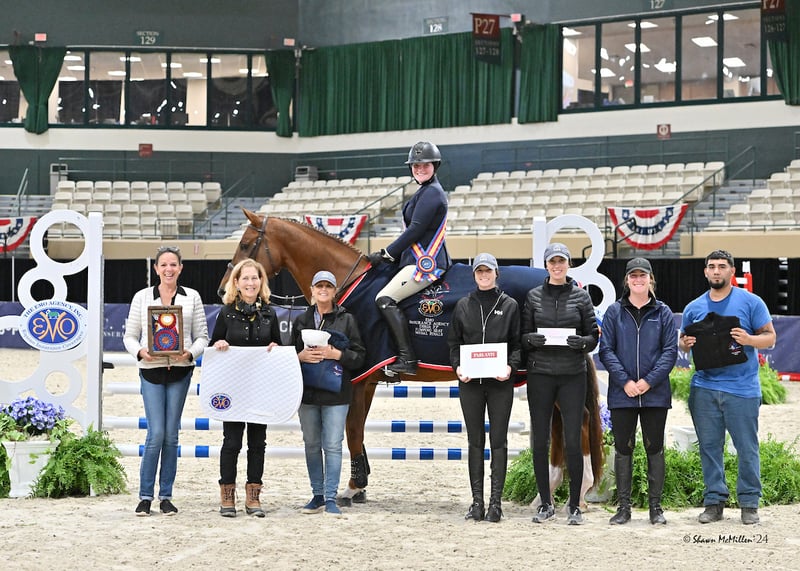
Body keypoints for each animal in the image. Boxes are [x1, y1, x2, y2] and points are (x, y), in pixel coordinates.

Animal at [222, 212, 604, 508]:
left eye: (246, 245)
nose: (224, 289)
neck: (348, 284)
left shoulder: (358, 377)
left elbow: (352, 430)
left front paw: (352, 488)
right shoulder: (369, 381)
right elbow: (357, 430)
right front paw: (360, 484)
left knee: (578, 419)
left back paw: (580, 491)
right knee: (558, 423)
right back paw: (547, 493)